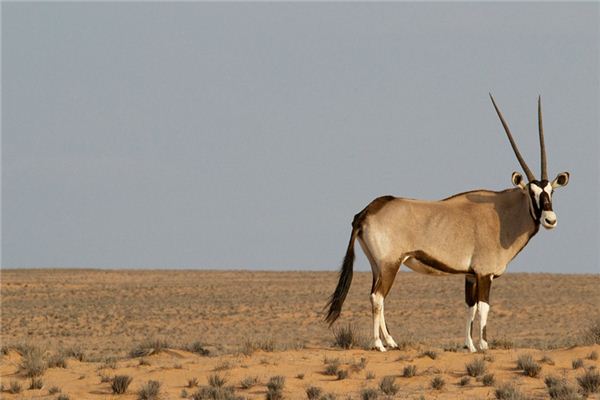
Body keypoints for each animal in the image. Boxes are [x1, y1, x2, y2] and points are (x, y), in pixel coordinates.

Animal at [326, 95, 568, 352]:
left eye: (551, 191)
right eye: (532, 193)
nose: (550, 219)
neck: (502, 214)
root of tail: (366, 211)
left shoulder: (470, 275)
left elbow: (470, 307)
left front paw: (469, 346)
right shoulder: (484, 274)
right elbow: (484, 308)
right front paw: (484, 346)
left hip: (377, 266)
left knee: (375, 295)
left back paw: (391, 341)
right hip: (390, 264)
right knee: (378, 297)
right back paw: (379, 344)